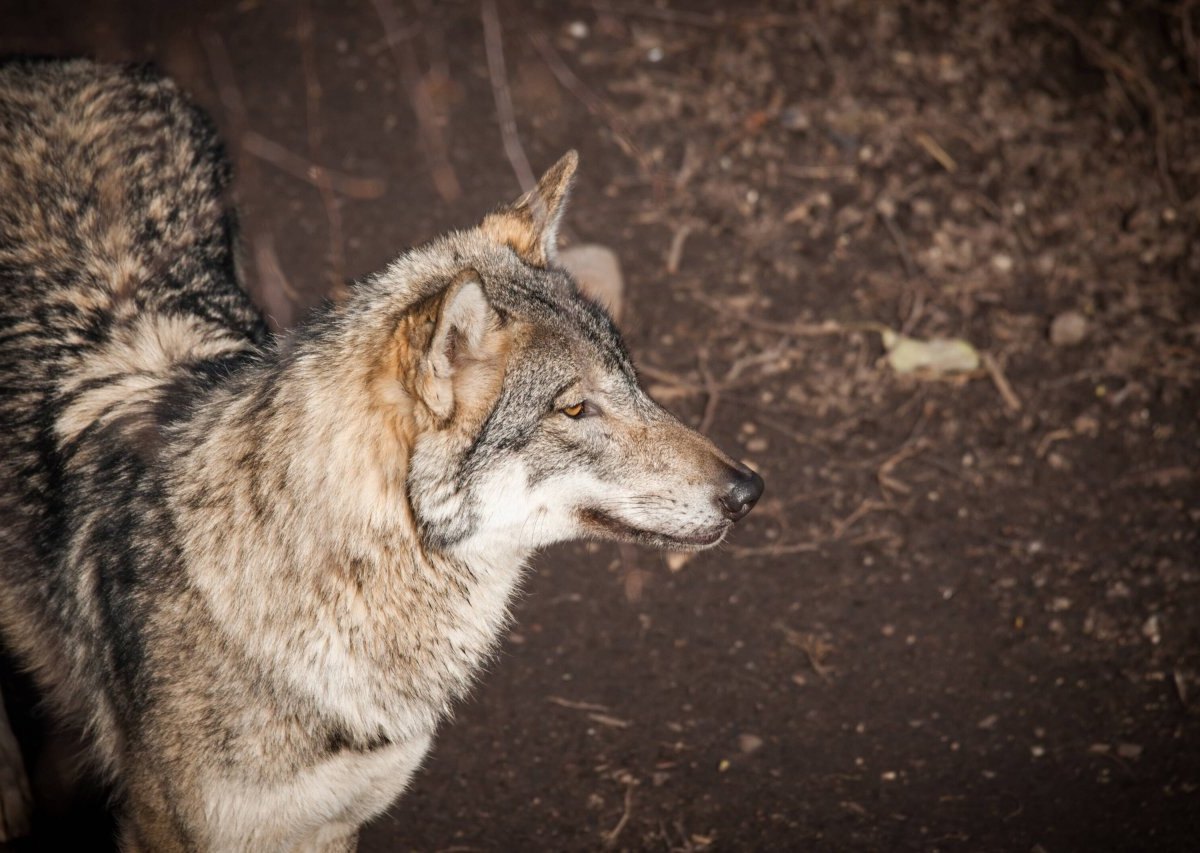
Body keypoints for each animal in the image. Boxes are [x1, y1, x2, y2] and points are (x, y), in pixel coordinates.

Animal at [0, 58, 763, 849]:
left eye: (630, 378)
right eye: (576, 408)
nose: (748, 490)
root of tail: (52, 66)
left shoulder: (336, 820)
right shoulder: (177, 830)